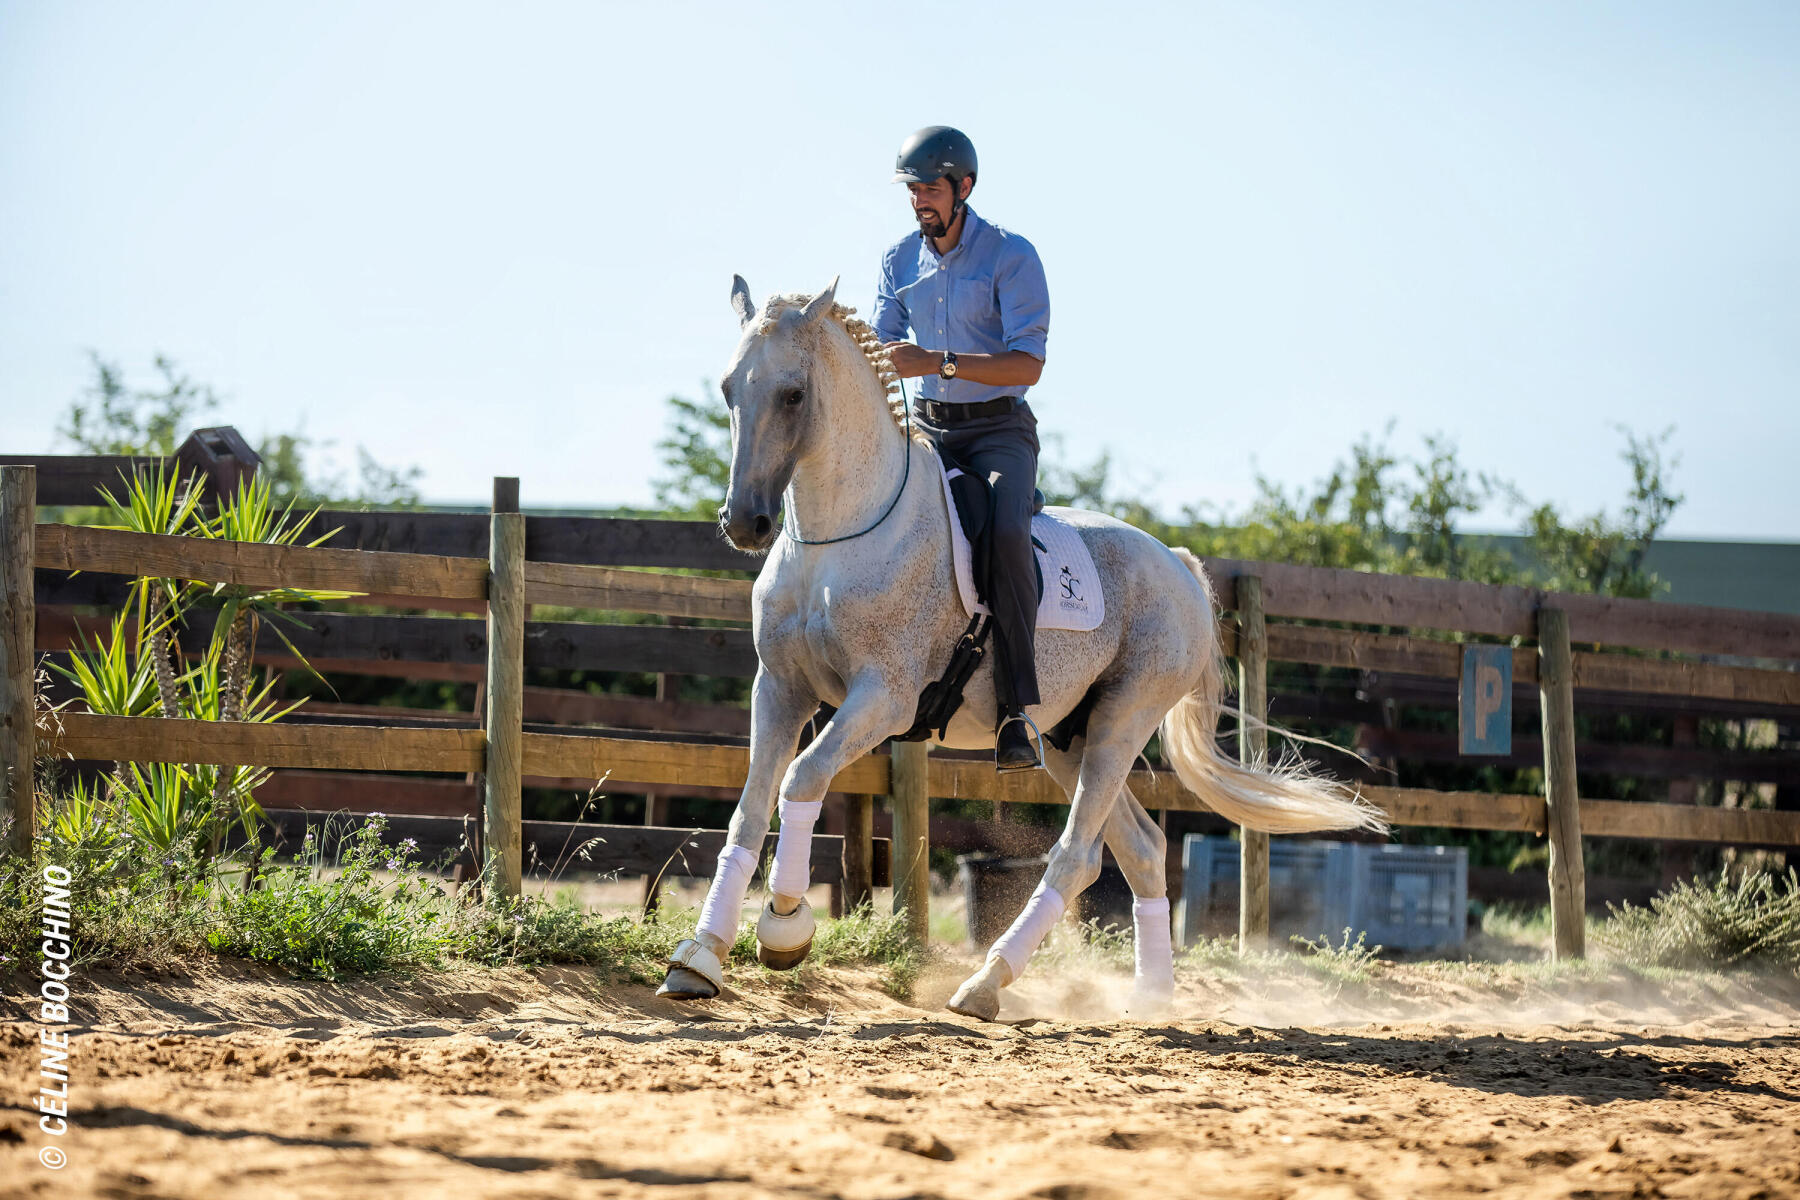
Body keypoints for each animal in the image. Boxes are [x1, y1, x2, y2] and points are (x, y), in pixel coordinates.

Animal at [655, 277, 1382, 1021]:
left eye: (794, 394)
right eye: (728, 388)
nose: (745, 522)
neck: (840, 538)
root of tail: (1177, 565)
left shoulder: (882, 699)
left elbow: (800, 779)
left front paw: (785, 926)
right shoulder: (780, 689)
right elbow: (748, 811)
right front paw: (700, 958)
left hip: (1123, 721)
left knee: (1078, 854)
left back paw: (986, 984)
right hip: (1067, 738)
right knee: (1141, 849)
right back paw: (1149, 997)